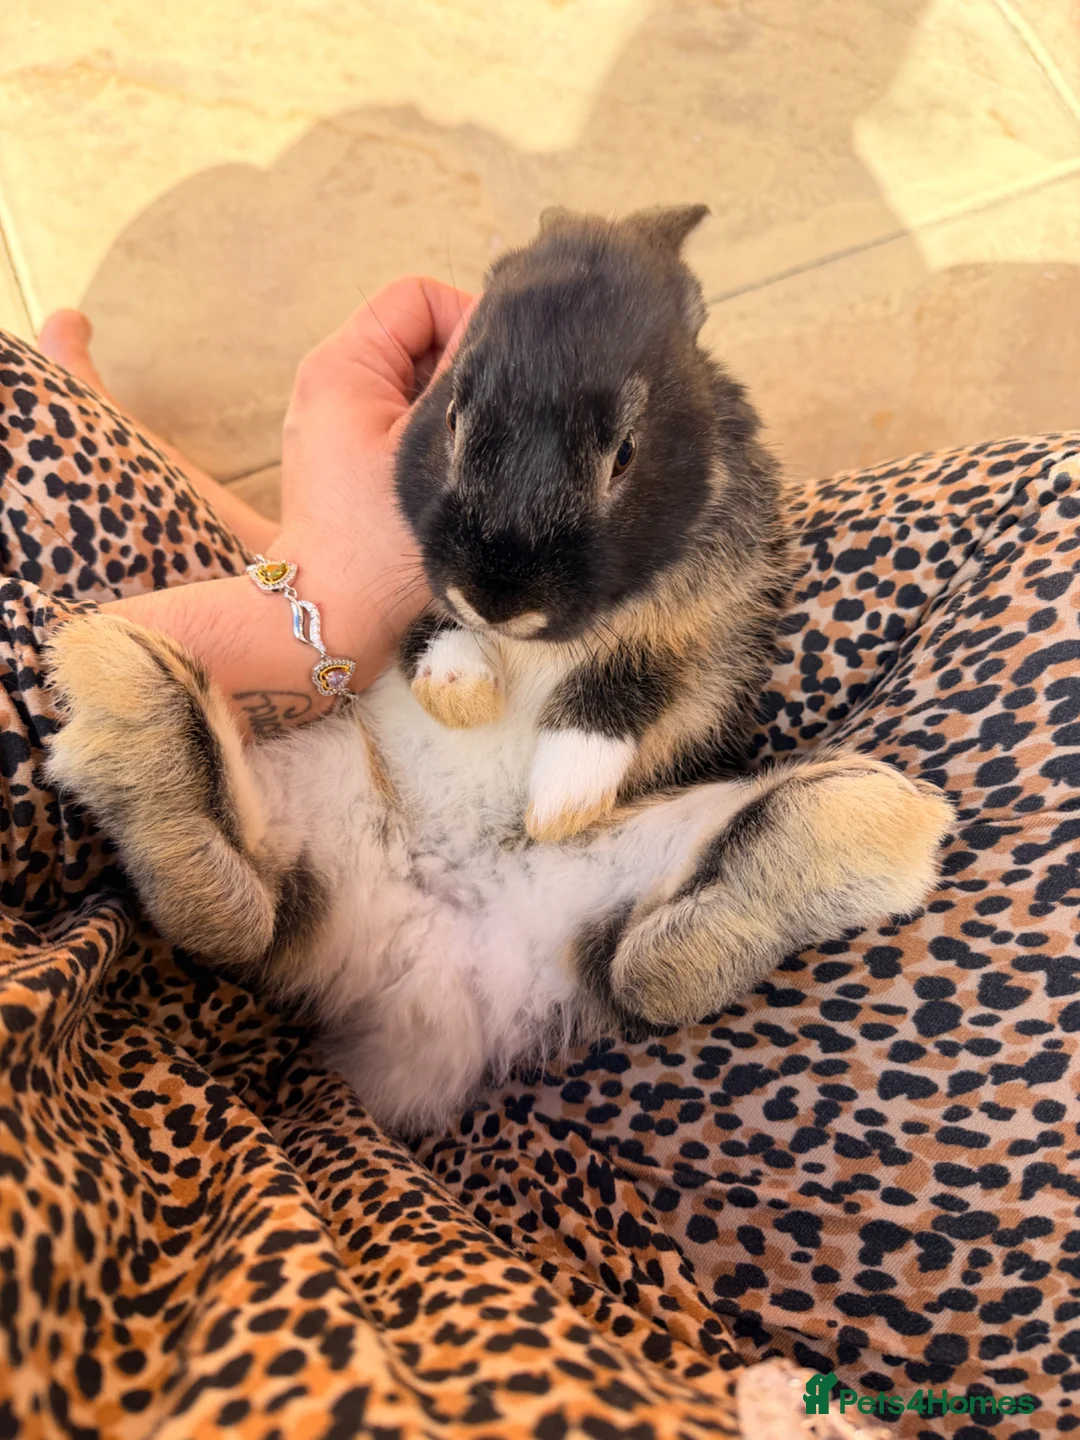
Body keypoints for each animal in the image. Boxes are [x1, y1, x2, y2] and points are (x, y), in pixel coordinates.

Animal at [44, 206, 953, 1135]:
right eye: (450, 416)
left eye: (625, 453)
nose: (499, 595)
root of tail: (436, 972)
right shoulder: (414, 590)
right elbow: (430, 635)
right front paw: (462, 695)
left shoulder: (708, 627)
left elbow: (627, 686)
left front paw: (560, 799)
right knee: (244, 921)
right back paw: (135, 702)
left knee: (638, 975)